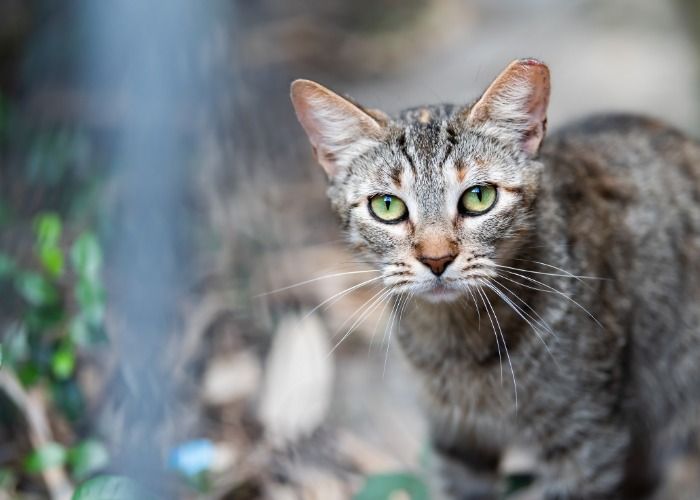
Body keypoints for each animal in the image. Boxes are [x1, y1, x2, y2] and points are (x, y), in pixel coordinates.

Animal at [288, 59, 700, 500]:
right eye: (387, 205)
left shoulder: (586, 439)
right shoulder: (456, 442)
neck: (458, 347)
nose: (436, 259)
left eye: (479, 197)